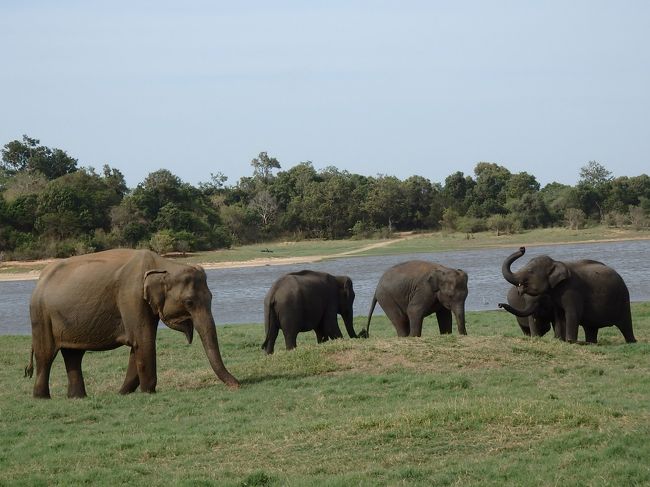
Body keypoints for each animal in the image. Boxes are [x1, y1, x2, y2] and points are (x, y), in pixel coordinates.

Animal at [24, 250, 240, 398]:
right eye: (189, 302)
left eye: (211, 297)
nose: (238, 385)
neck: (162, 264)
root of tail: (40, 280)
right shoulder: (131, 297)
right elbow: (142, 341)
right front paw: (148, 391)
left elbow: (138, 345)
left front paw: (123, 393)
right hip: (41, 315)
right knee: (45, 356)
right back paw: (42, 398)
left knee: (73, 355)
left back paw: (77, 397)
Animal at [502, 246, 632, 346]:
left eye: (530, 271)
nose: (522, 248)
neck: (556, 262)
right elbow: (559, 315)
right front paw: (560, 340)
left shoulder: (572, 290)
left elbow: (572, 313)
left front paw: (570, 341)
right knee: (591, 328)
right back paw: (591, 343)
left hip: (623, 298)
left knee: (625, 324)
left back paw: (631, 342)